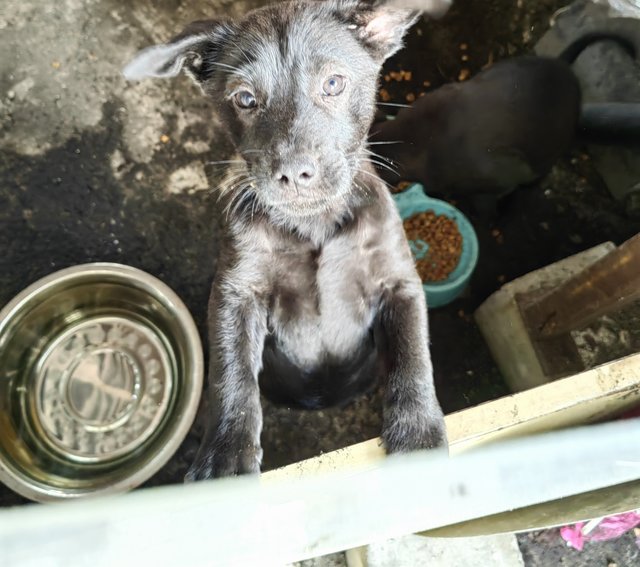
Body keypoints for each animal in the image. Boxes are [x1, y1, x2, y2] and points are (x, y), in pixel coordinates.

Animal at [125, 0, 450, 482]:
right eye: (245, 98)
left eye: (333, 83)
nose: (294, 174)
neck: (313, 223)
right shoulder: (236, 291)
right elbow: (231, 373)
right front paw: (224, 458)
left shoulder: (399, 283)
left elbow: (413, 357)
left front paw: (419, 436)